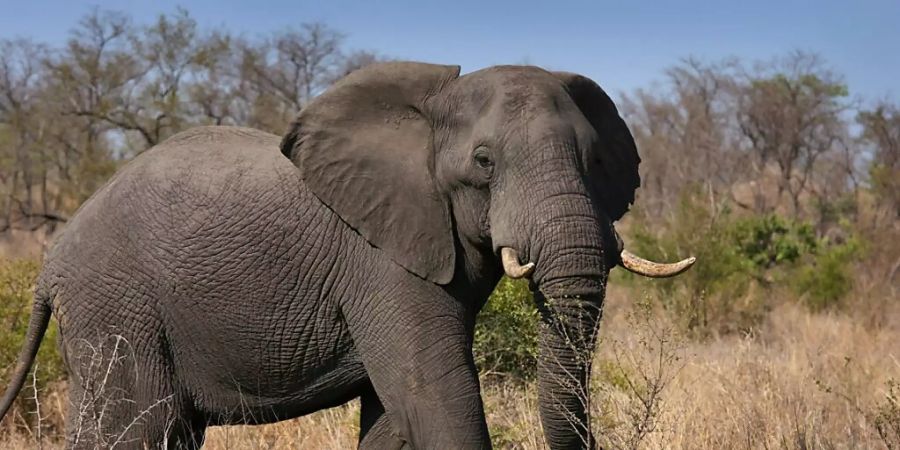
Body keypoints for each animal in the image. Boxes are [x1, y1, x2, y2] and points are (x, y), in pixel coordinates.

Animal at [0, 60, 696, 450]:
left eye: (597, 160)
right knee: (134, 427)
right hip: (117, 307)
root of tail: (50, 265)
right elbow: (434, 393)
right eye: (483, 162)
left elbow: (395, 414)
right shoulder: (379, 258)